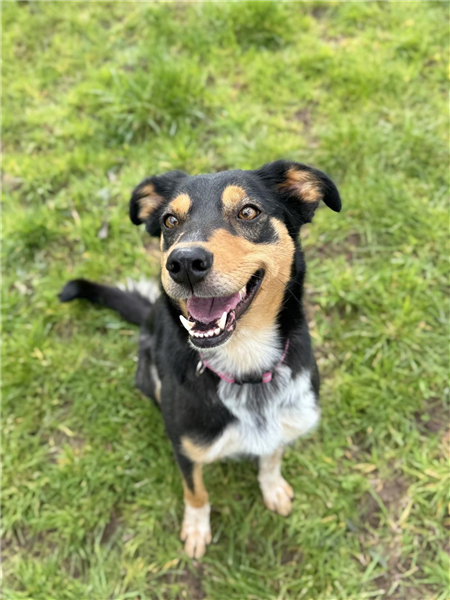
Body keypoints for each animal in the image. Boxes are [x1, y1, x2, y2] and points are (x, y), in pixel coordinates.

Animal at [60, 160, 341, 558]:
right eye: (169, 221)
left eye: (248, 212)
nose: (184, 262)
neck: (244, 365)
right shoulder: (186, 447)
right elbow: (195, 491)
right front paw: (195, 529)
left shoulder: (284, 421)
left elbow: (271, 457)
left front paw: (273, 488)